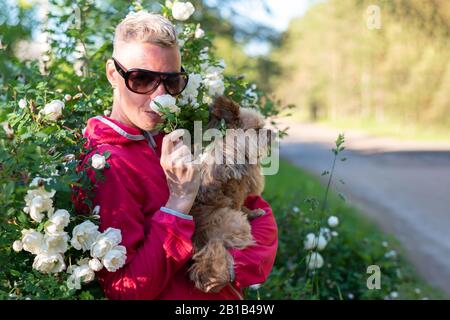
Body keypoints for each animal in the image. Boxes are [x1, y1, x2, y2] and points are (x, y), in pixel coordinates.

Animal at [188, 95, 272, 292]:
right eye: (258, 130)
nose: (271, 132)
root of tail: (203, 239)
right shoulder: (238, 192)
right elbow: (241, 206)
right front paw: (254, 212)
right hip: (235, 222)